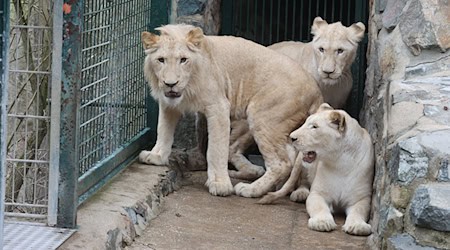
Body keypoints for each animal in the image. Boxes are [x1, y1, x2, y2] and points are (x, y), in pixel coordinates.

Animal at [139, 24, 322, 198]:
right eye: (161, 60)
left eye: (183, 60)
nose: (171, 84)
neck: (189, 85)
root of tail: (316, 90)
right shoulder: (169, 103)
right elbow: (163, 130)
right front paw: (156, 156)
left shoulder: (218, 107)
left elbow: (216, 149)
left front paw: (220, 184)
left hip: (264, 118)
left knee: (281, 164)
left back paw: (251, 189)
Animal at [258, 102, 374, 235]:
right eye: (305, 123)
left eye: (314, 127)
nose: (292, 137)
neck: (340, 163)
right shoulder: (318, 193)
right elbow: (319, 207)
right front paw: (322, 222)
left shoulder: (361, 198)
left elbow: (358, 211)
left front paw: (357, 226)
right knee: (302, 181)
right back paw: (300, 194)